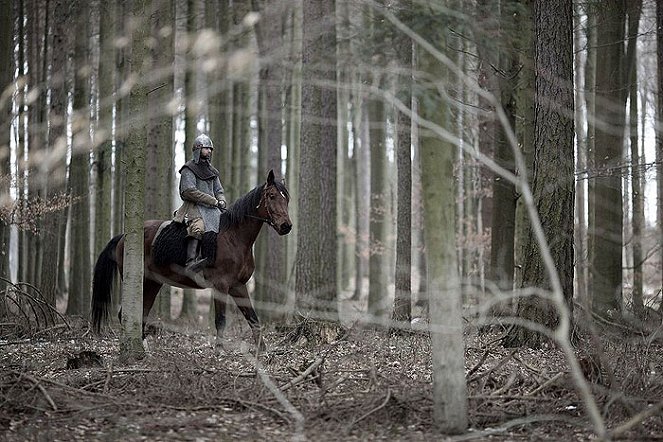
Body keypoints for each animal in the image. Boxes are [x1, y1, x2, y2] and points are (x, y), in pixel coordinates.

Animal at [91, 168, 294, 348]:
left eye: (287, 198)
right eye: (272, 196)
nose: (286, 226)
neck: (234, 237)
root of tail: (123, 236)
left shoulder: (239, 286)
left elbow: (253, 319)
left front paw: (262, 351)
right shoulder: (221, 286)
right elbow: (220, 320)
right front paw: (219, 350)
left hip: (153, 282)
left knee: (142, 313)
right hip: (140, 280)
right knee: (127, 314)